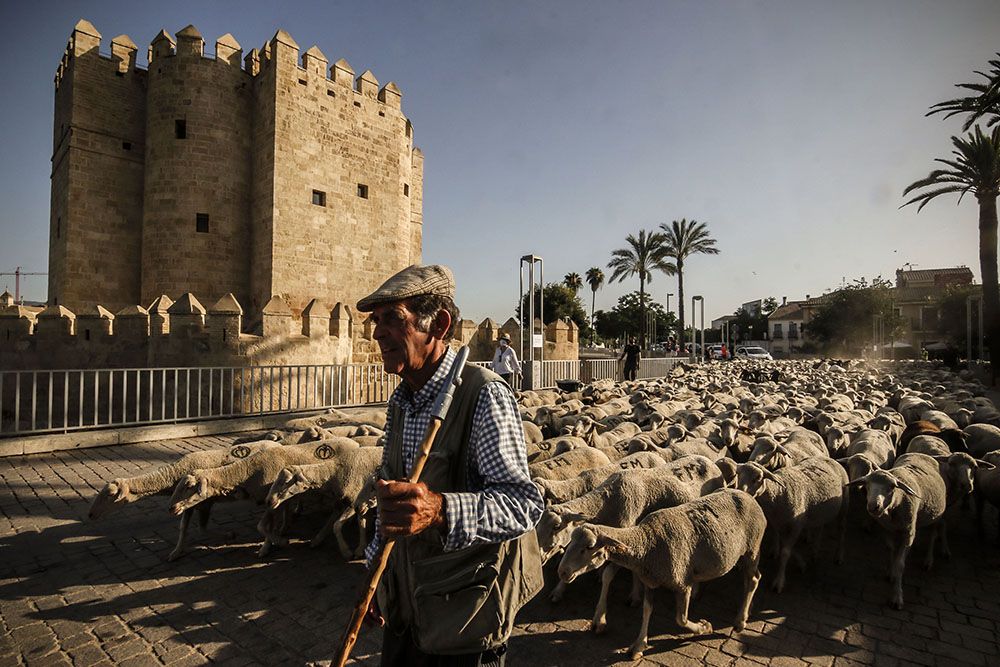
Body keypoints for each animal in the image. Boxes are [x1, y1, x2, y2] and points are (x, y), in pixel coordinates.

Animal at [556, 488, 764, 660]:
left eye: (589, 547)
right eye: (571, 539)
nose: (562, 572)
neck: (648, 541)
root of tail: (747, 495)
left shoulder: (682, 584)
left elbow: (681, 619)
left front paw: (704, 627)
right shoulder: (650, 580)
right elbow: (647, 610)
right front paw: (639, 645)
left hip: (752, 548)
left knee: (754, 579)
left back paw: (740, 621)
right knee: (748, 580)